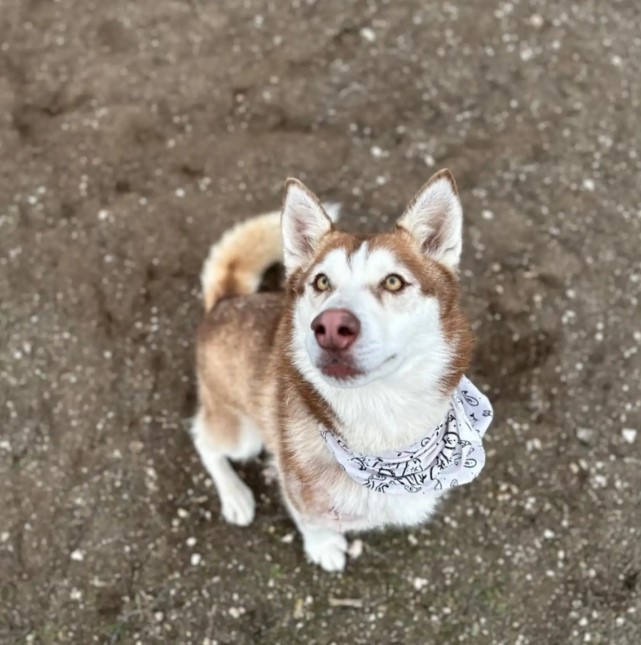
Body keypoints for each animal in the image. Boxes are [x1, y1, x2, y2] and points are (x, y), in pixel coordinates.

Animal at [191, 170, 490, 568]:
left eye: (393, 281)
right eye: (322, 281)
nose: (331, 326)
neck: (383, 431)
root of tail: (226, 300)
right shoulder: (302, 494)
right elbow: (310, 520)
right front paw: (324, 546)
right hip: (241, 433)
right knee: (204, 440)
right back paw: (235, 494)